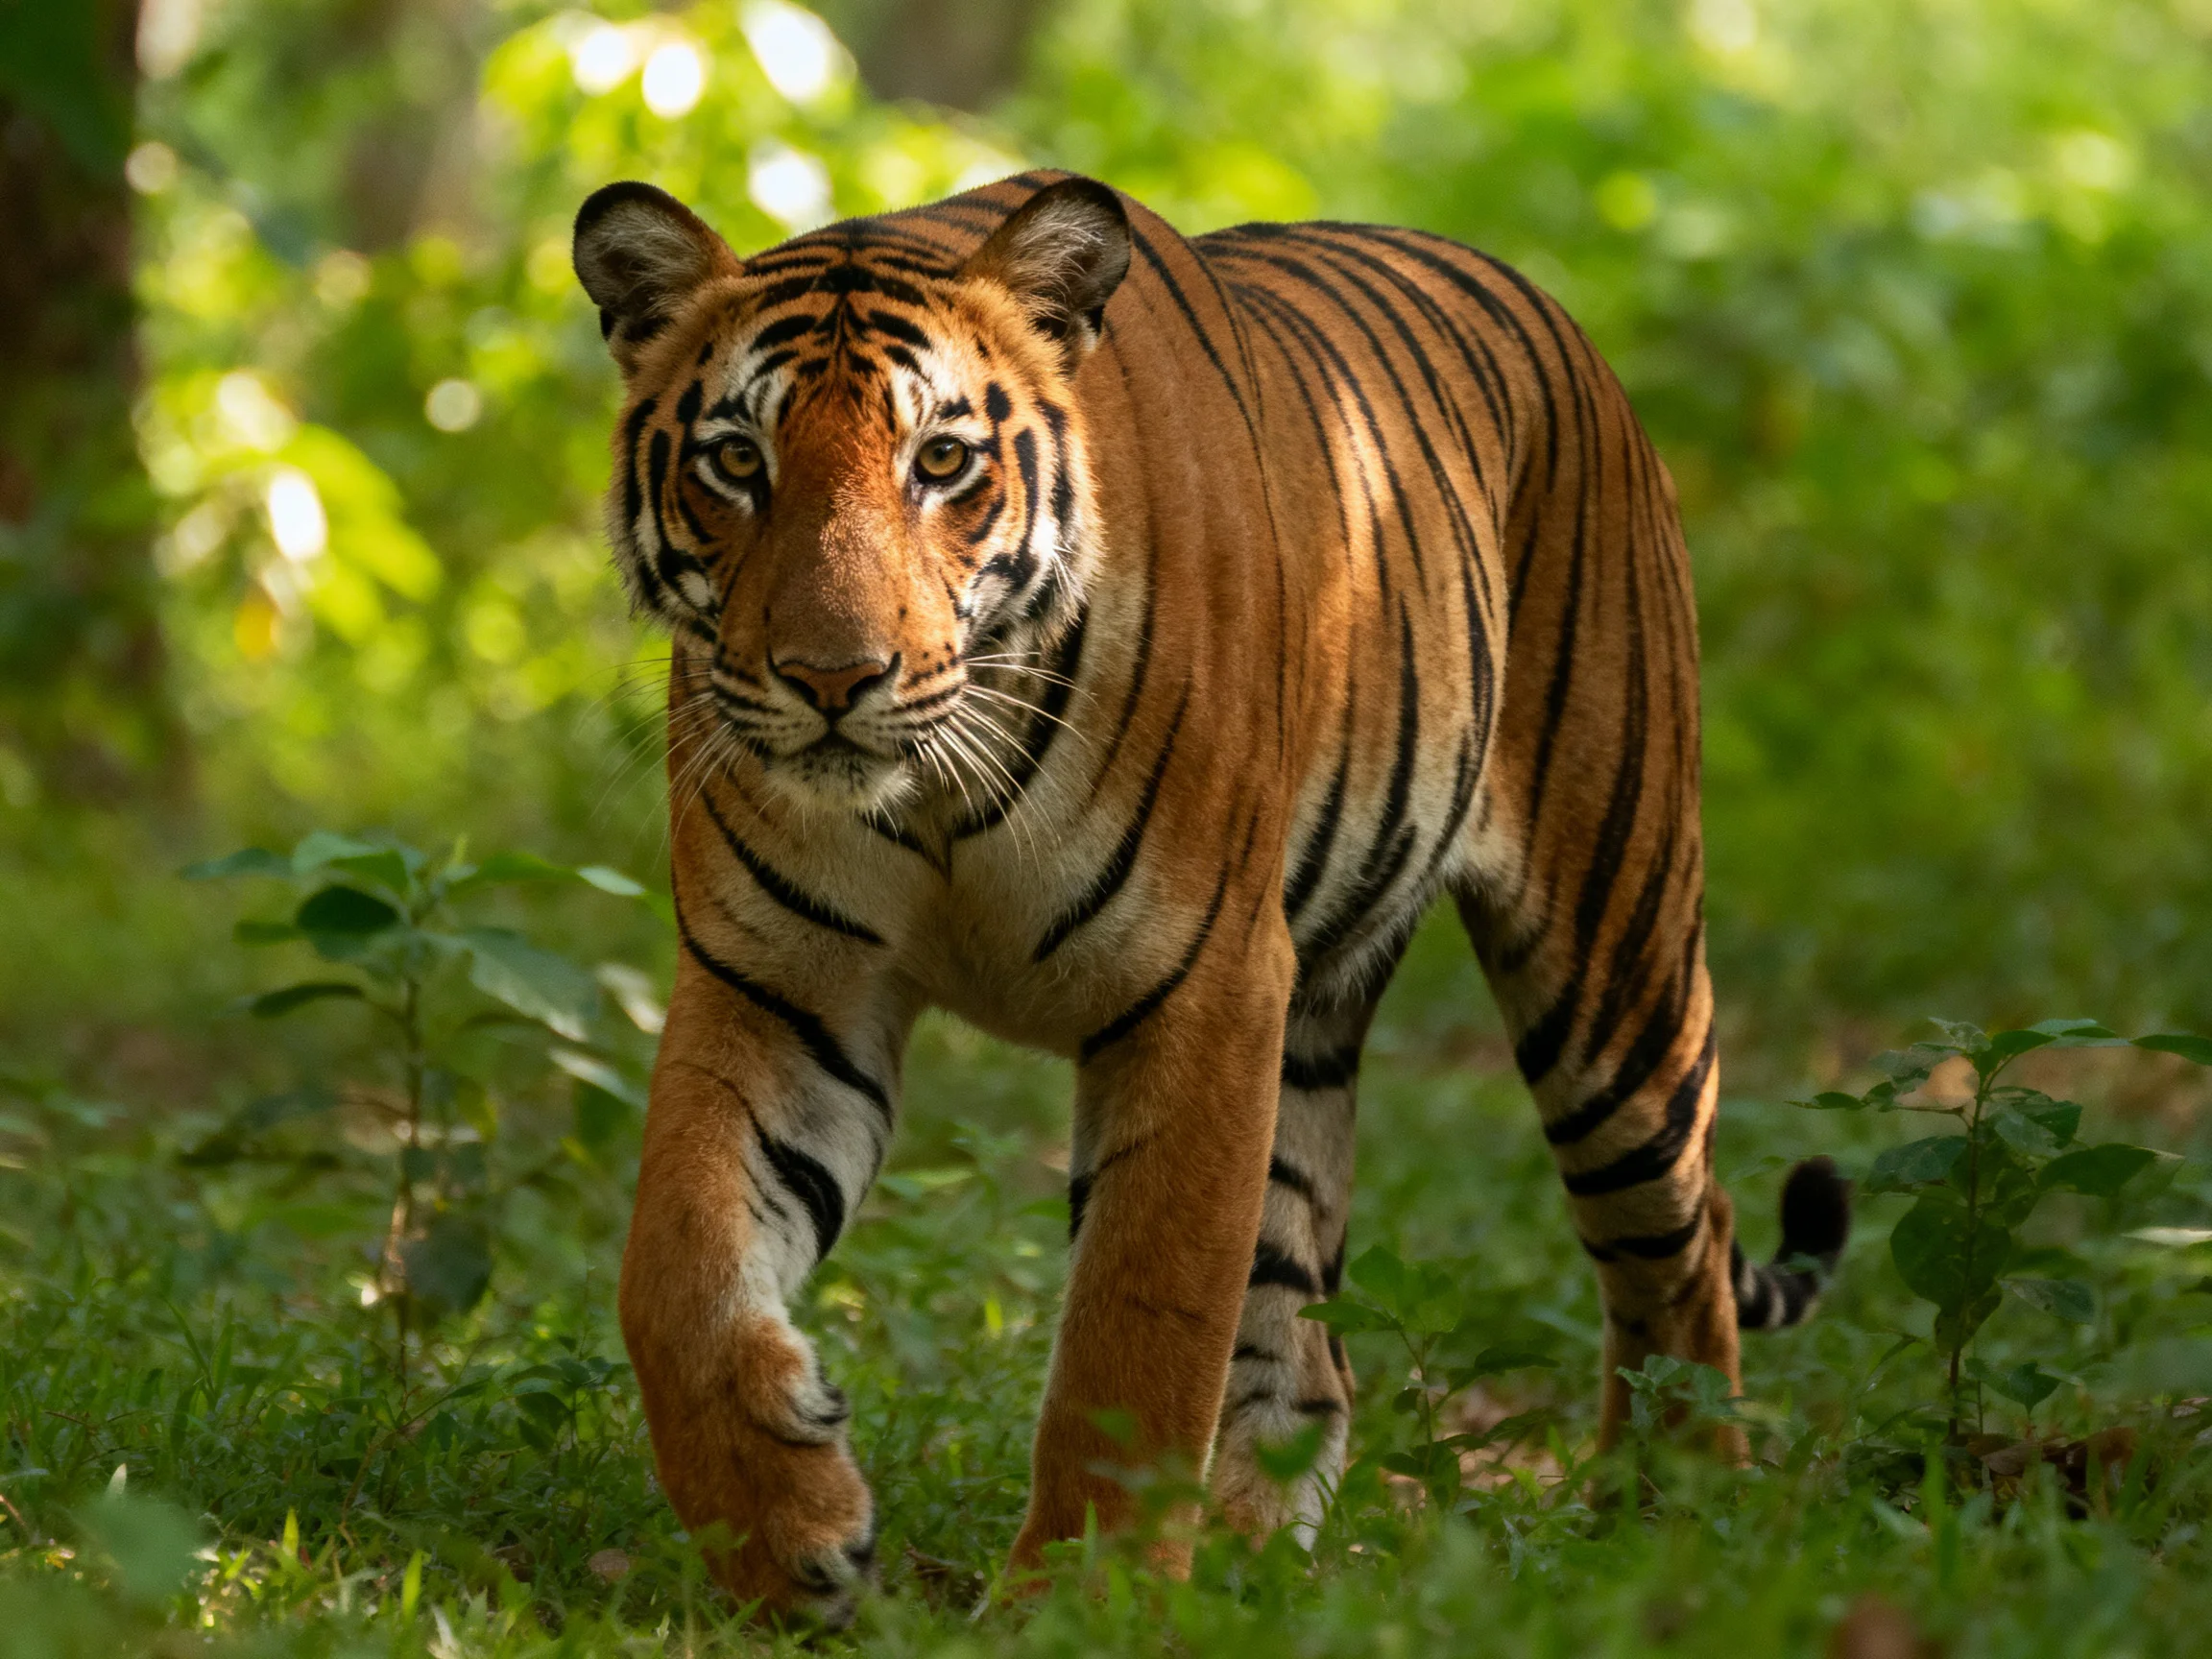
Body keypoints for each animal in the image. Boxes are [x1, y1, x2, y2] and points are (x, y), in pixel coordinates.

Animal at [571, 169, 1849, 1625]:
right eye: (738, 461)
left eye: (941, 463)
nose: (834, 678)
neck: (938, 794)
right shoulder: (781, 985)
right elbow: (674, 1272)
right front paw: (788, 1541)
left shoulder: (1200, 987)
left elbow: (1140, 1329)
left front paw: (1084, 1605)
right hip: (1314, 1030)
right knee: (1310, 1344)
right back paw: (1252, 1562)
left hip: (1613, 961)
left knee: (1683, 1238)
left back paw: (1672, 1520)